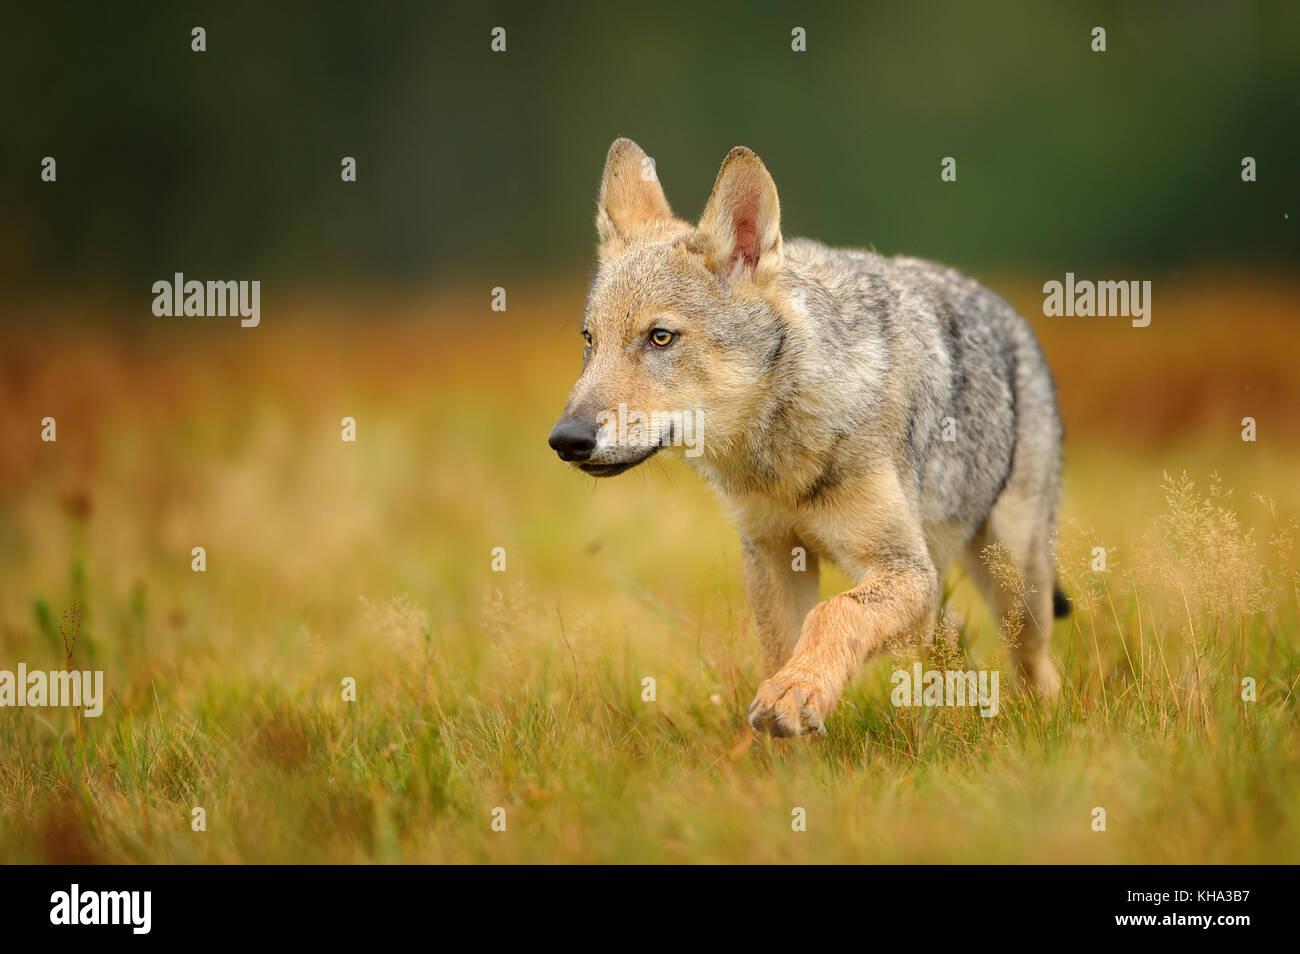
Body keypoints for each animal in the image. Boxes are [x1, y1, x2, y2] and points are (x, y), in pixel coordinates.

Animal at [548, 140, 1066, 738]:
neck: (781, 458)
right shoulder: (773, 556)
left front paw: (795, 693)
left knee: (1034, 668)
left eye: (660, 338)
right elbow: (782, 646)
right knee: (949, 642)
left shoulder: (906, 570)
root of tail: (1010, 314)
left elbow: (833, 613)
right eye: (590, 340)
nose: (565, 439)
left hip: (1013, 584)